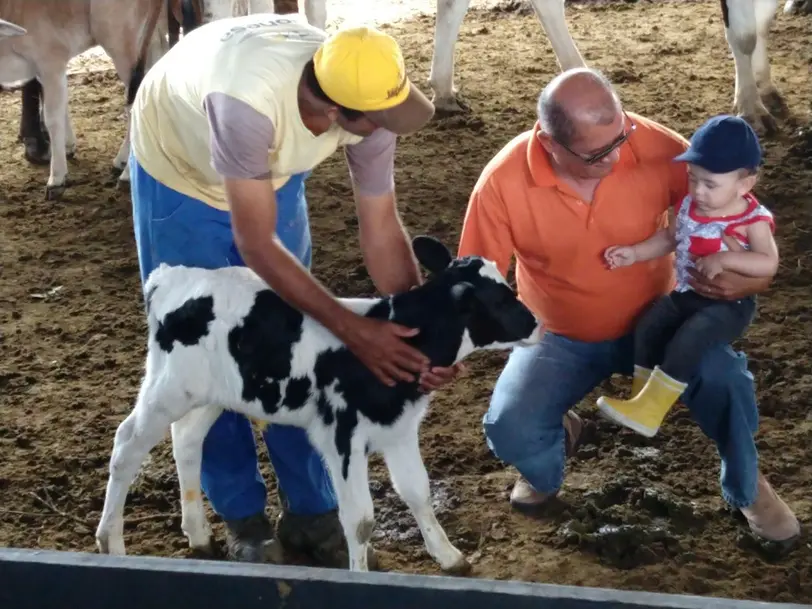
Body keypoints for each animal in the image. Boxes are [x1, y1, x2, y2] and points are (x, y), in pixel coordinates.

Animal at [95, 236, 544, 568]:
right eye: (500, 299)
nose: (538, 323)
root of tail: (173, 276)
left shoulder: (398, 428)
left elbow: (417, 491)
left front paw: (448, 556)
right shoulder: (341, 435)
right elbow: (360, 520)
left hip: (212, 392)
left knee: (186, 440)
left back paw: (198, 535)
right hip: (168, 388)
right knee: (126, 444)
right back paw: (110, 542)